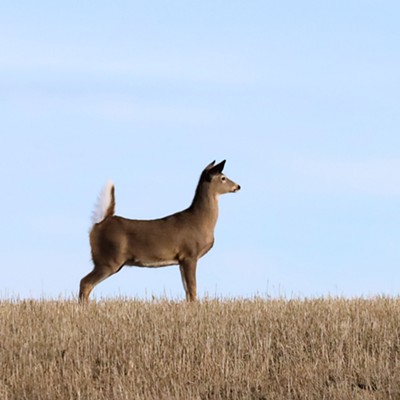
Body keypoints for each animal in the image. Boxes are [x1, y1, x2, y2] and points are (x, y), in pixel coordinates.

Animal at [79, 160, 241, 304]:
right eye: (223, 178)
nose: (238, 186)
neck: (200, 220)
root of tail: (98, 224)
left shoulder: (181, 259)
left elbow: (187, 290)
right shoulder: (190, 254)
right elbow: (193, 288)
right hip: (108, 259)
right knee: (85, 282)